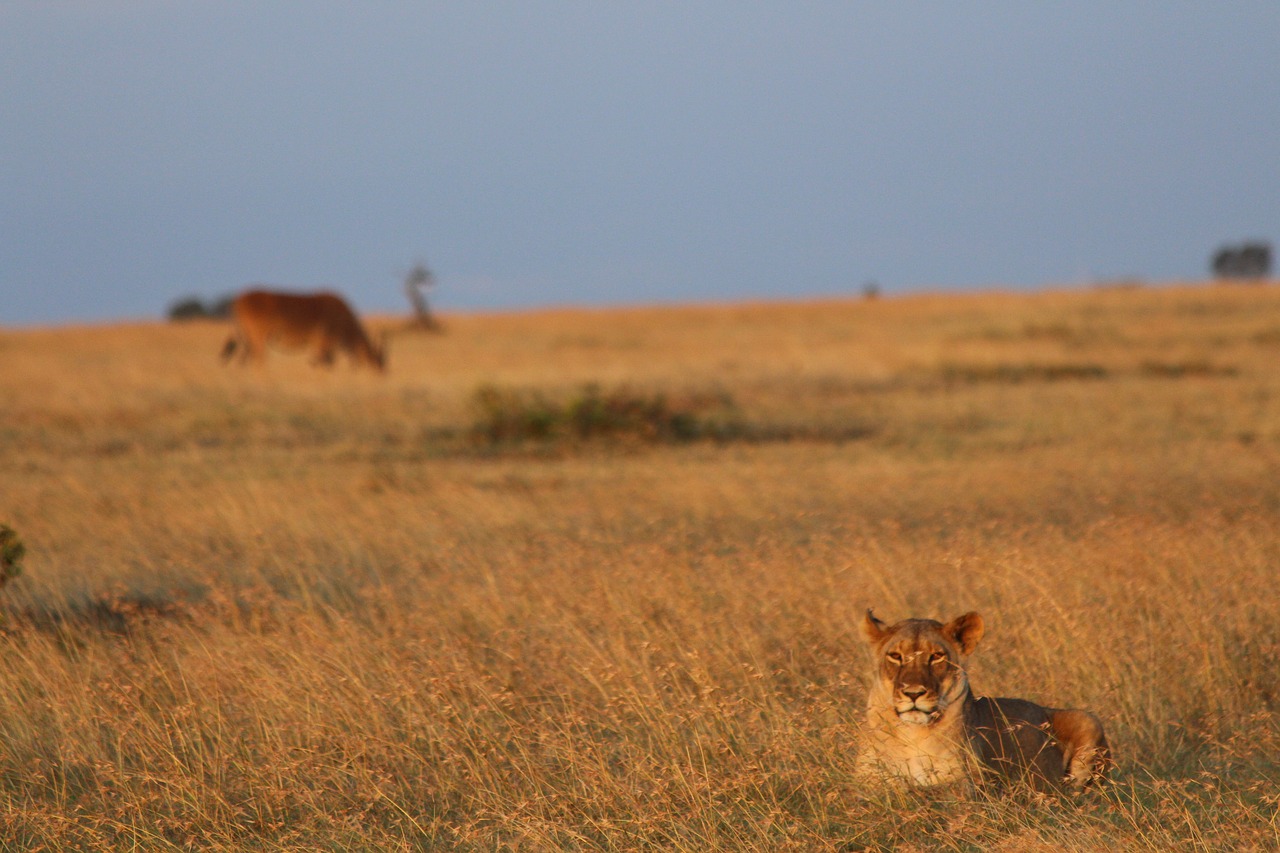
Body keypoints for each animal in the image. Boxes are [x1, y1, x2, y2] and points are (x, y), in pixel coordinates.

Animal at [220, 286, 384, 371]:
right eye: (377, 363)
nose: (382, 375)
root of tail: (238, 301)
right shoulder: (324, 346)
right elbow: (325, 364)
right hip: (257, 340)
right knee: (258, 360)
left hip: (245, 340)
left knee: (242, 362)